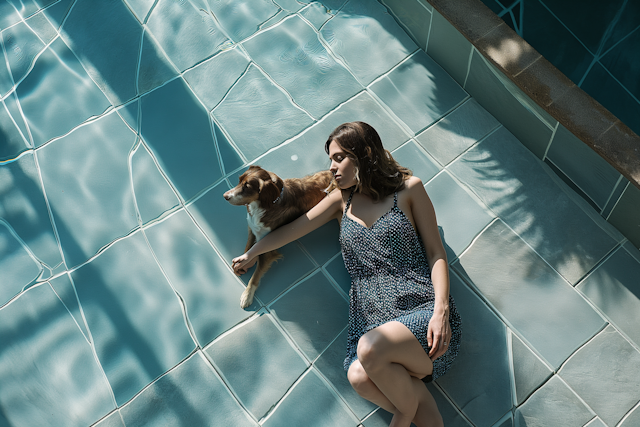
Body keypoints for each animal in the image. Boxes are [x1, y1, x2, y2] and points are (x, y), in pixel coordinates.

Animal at [222, 166, 332, 310]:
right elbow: (248, 248)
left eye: (247, 187)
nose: (225, 196)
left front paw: (247, 295)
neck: (263, 206)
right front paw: (242, 263)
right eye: (239, 181)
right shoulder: (252, 229)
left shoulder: (269, 245)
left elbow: (255, 275)